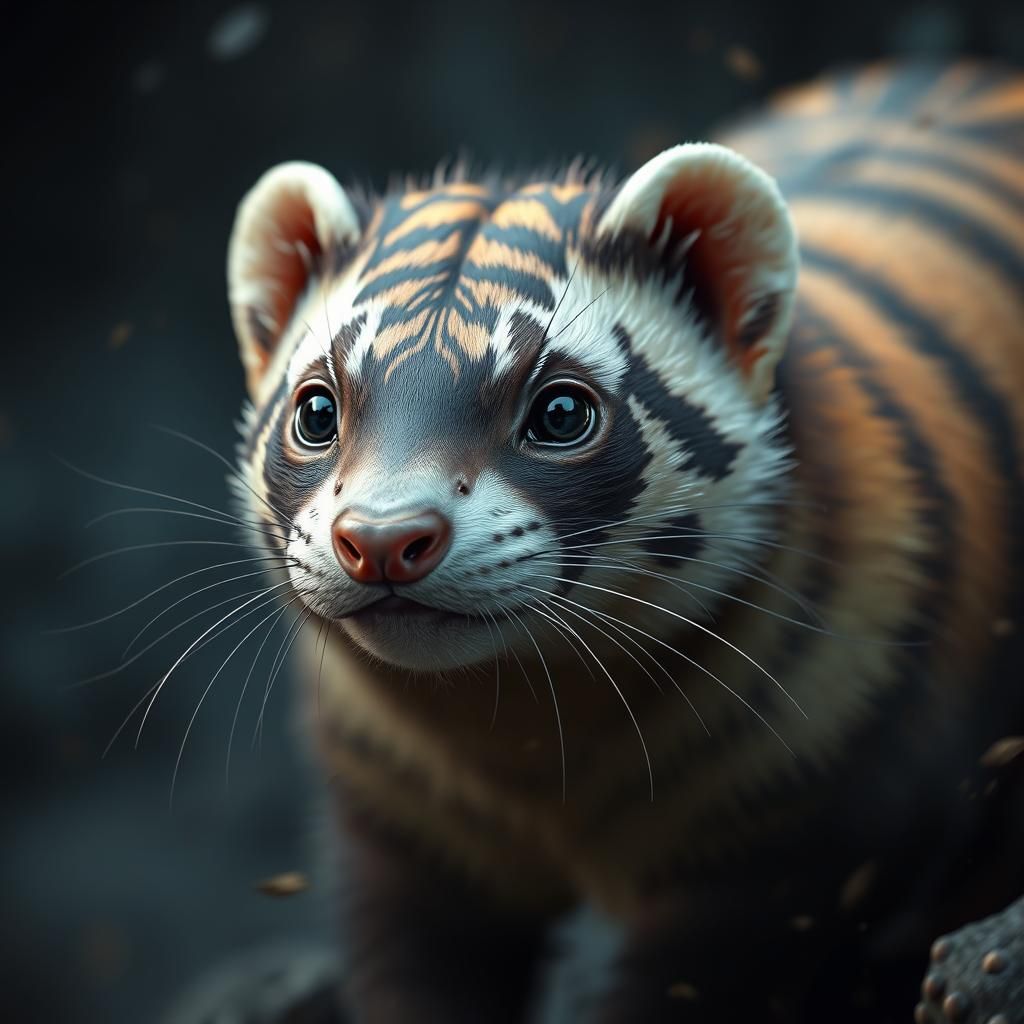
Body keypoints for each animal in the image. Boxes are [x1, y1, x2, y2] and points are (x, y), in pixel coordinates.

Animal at [222, 62, 1024, 1023]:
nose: (383, 537)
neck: (535, 759)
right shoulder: (400, 841)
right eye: (317, 410)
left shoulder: (795, 860)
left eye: (562, 410)